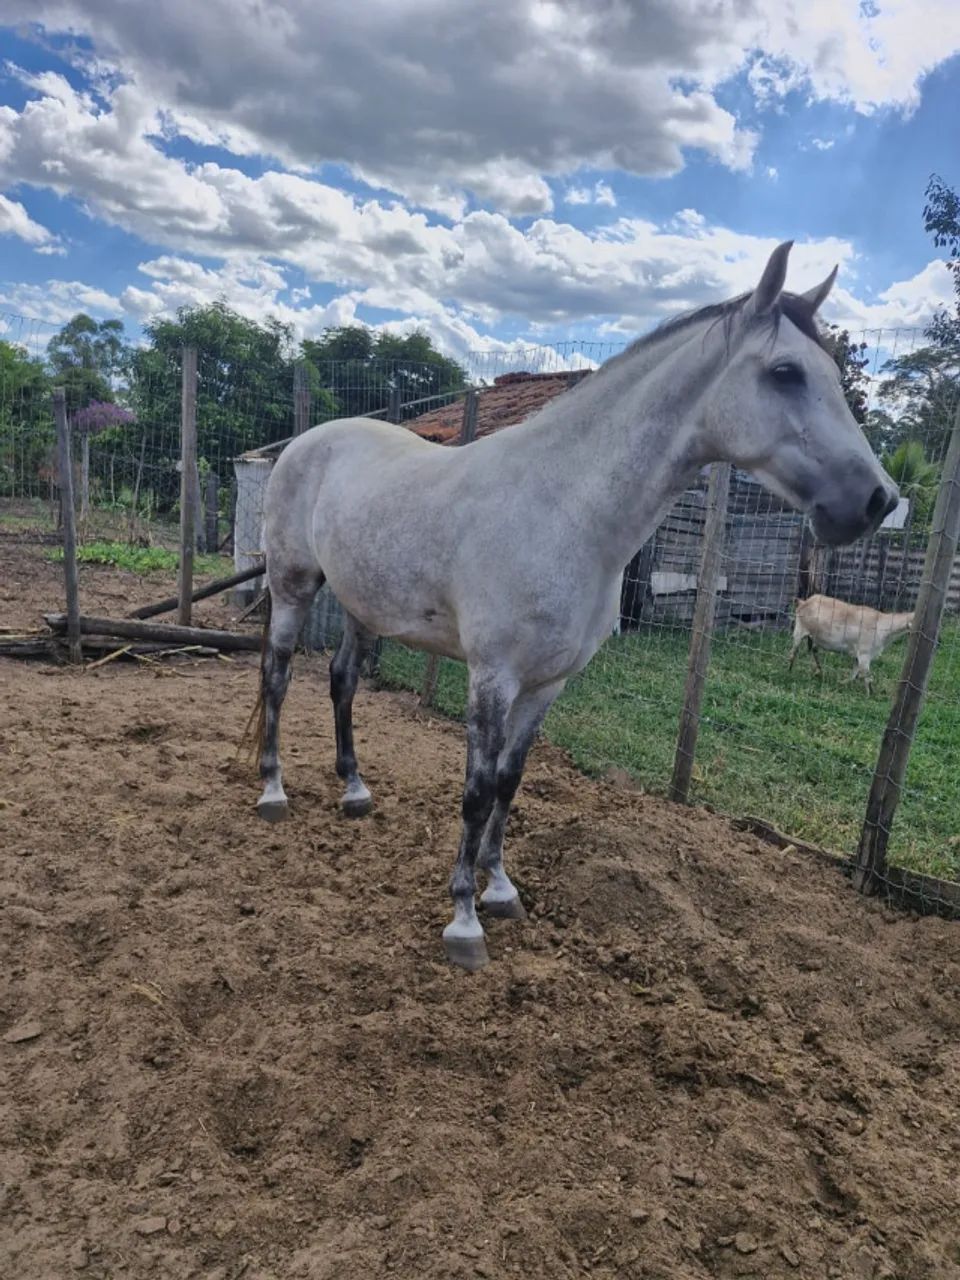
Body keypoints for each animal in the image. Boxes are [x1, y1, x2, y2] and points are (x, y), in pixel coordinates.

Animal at [251, 242, 898, 970]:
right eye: (786, 372)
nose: (877, 500)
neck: (565, 511)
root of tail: (304, 443)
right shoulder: (493, 678)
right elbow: (476, 791)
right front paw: (464, 921)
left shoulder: (548, 683)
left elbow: (510, 781)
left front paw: (500, 888)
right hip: (293, 588)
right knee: (277, 677)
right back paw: (273, 791)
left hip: (364, 606)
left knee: (342, 682)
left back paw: (355, 791)